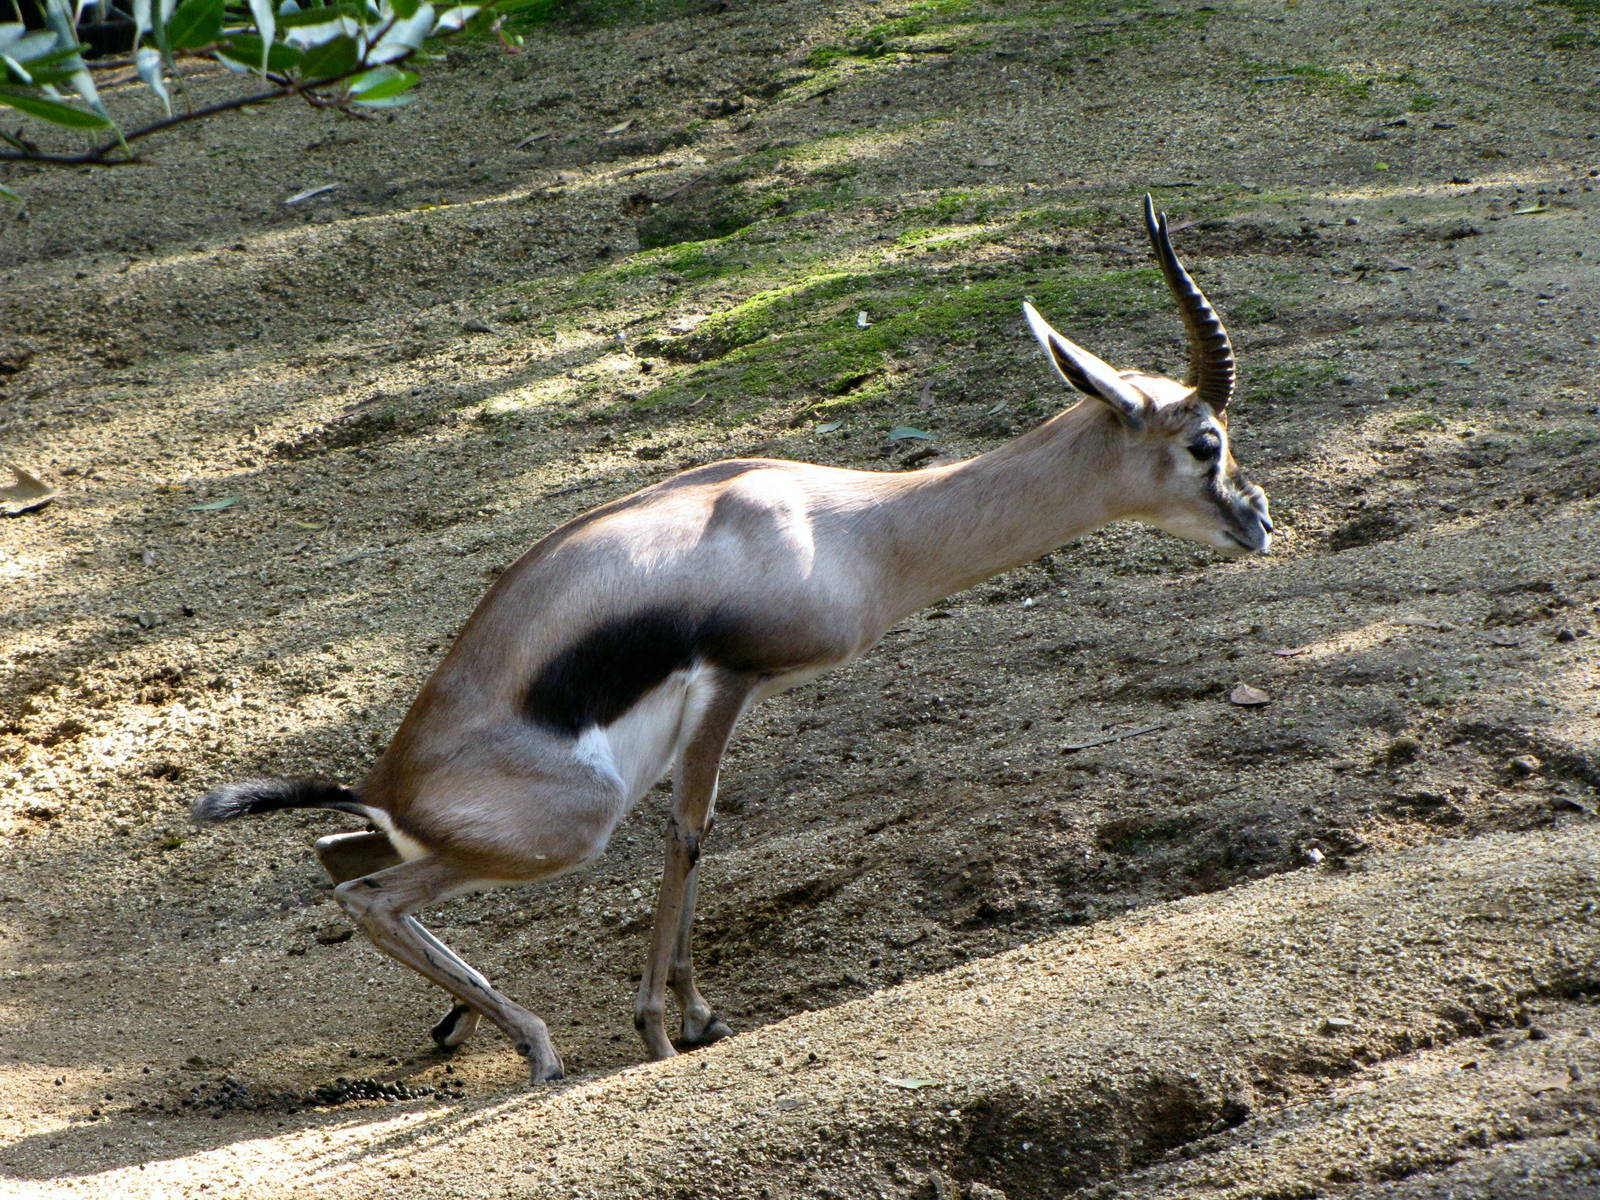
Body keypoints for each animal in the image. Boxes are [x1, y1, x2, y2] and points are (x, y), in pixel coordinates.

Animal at [193, 197, 1272, 1084]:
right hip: (575, 825)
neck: (843, 526)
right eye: (1204, 442)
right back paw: (538, 1047)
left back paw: (462, 1026)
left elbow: (699, 833)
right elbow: (691, 832)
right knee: (373, 895)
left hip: (448, 832)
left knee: (340, 855)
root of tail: (389, 778)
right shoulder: (728, 681)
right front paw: (663, 1030)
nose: (1257, 520)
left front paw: (693, 1015)